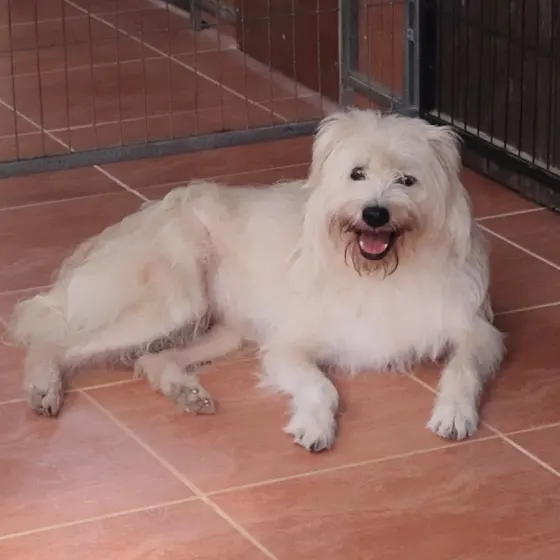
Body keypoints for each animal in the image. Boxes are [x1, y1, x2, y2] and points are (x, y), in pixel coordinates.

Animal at [9, 109, 504, 452]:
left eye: (407, 179)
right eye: (356, 174)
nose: (375, 213)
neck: (378, 270)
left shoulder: (477, 331)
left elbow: (462, 368)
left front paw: (454, 413)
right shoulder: (288, 345)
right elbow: (320, 386)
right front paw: (314, 424)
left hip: (224, 330)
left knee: (150, 359)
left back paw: (186, 392)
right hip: (170, 303)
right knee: (54, 340)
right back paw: (43, 387)